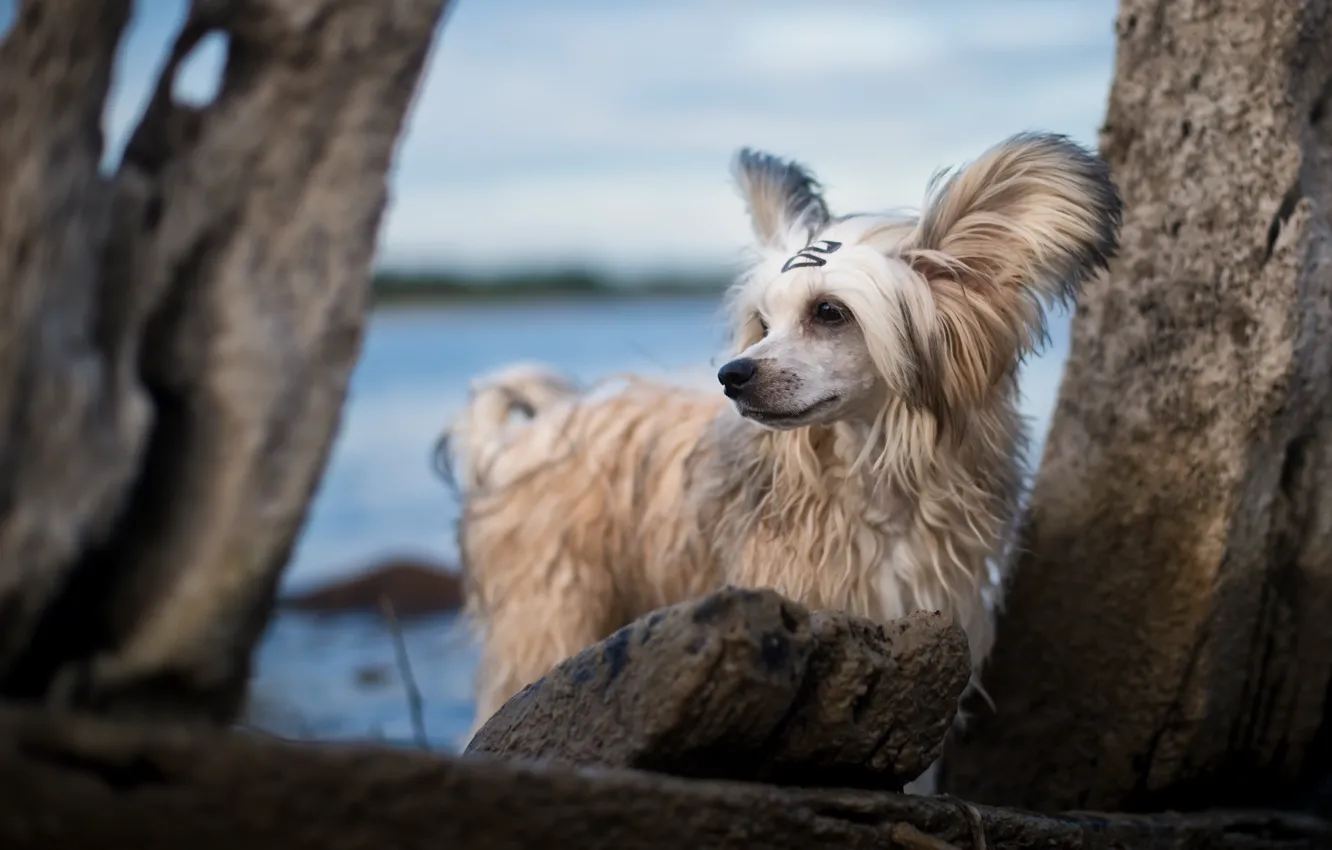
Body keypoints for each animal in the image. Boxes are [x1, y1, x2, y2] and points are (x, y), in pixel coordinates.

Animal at [442, 131, 1118, 788]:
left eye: (829, 312)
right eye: (763, 322)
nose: (731, 375)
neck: (871, 475)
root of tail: (516, 441)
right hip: (547, 613)